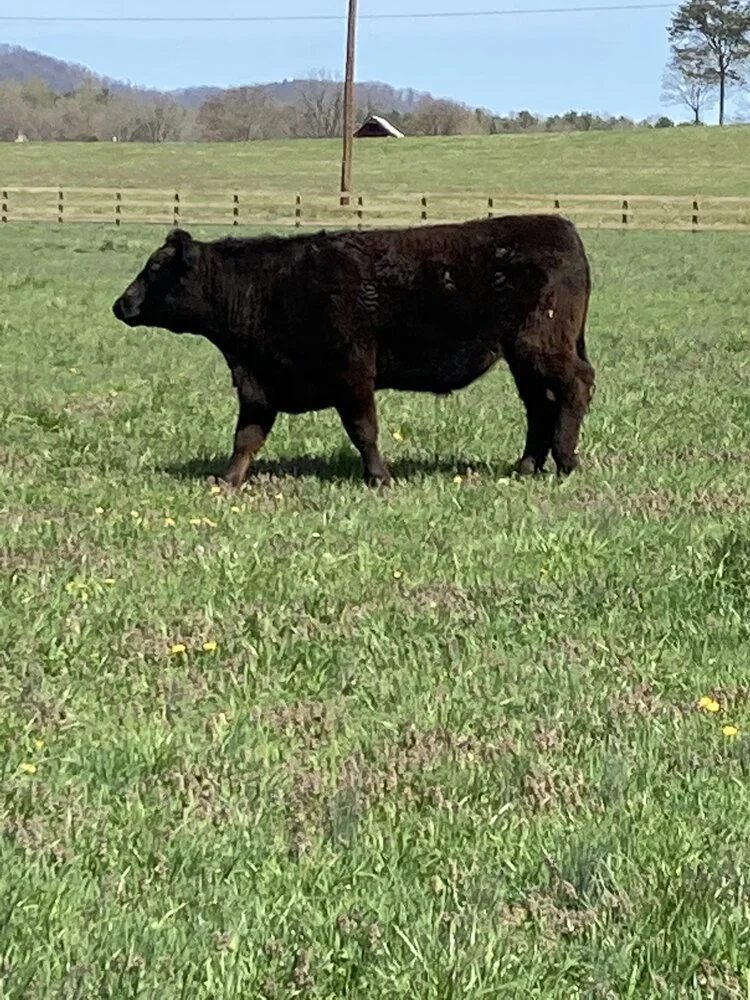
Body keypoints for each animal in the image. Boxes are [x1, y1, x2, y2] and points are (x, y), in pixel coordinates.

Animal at [111, 215, 594, 487]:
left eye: (155, 267)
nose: (120, 304)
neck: (265, 288)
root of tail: (561, 226)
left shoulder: (353, 374)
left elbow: (364, 431)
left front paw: (379, 478)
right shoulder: (259, 386)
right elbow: (246, 438)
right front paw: (227, 481)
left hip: (541, 346)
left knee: (576, 386)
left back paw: (566, 460)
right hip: (523, 357)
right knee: (539, 404)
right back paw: (527, 465)